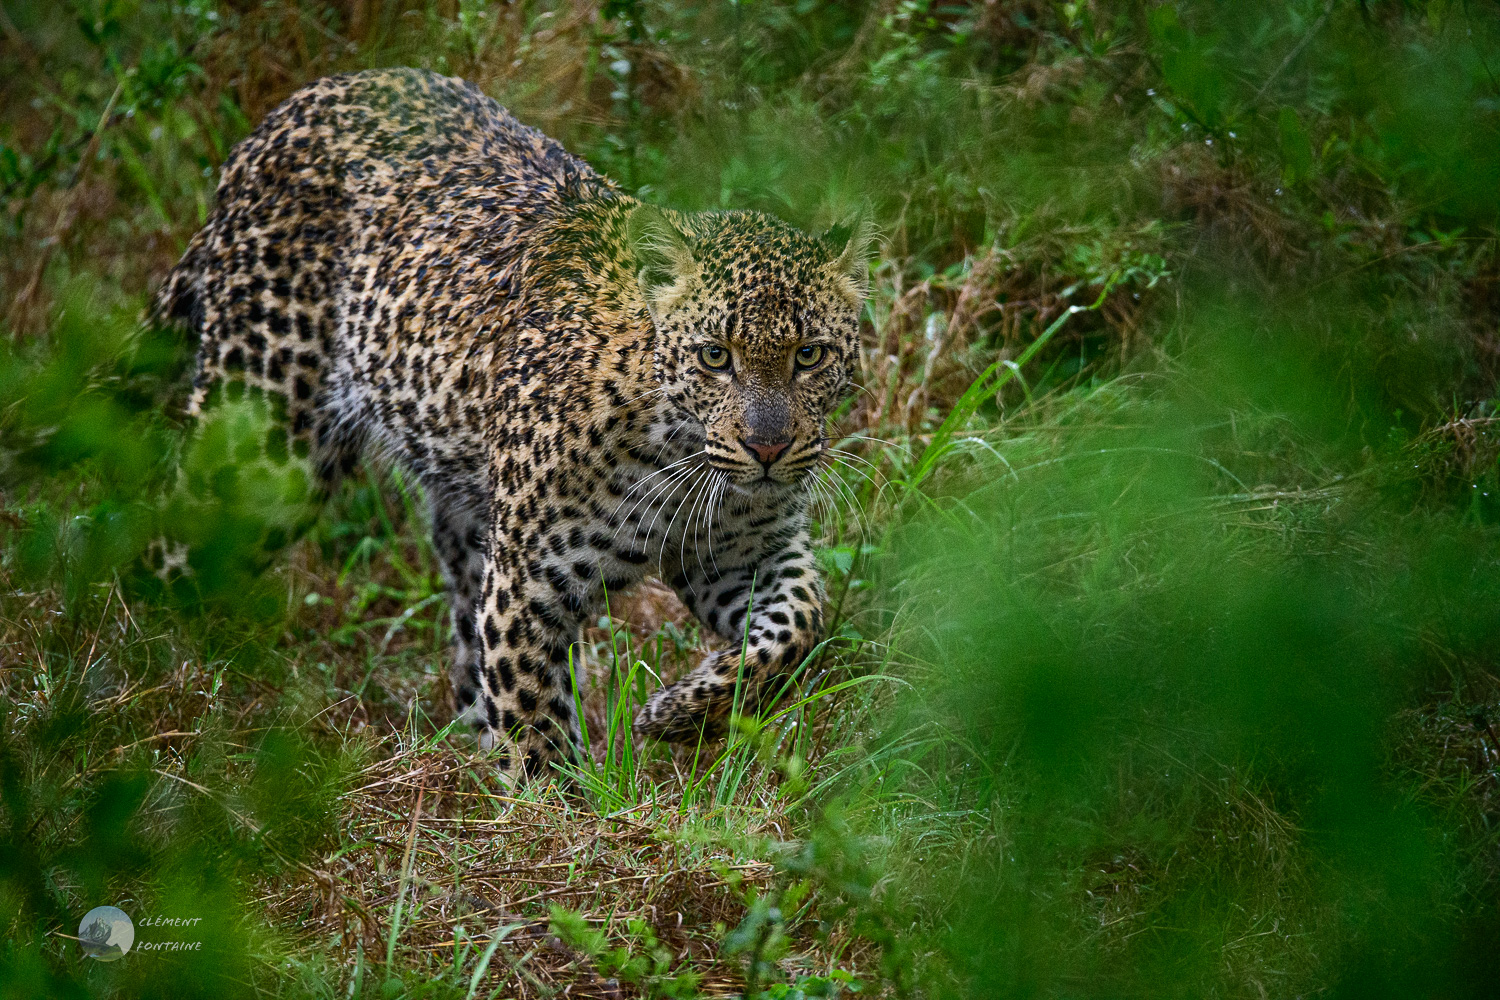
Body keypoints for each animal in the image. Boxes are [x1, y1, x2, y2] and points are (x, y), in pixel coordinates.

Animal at [150, 68, 870, 779]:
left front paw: (680, 712)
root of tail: (289, 111)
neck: (677, 451)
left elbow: (802, 625)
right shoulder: (528, 587)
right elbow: (535, 735)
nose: (768, 448)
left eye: (810, 355)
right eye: (715, 356)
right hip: (265, 443)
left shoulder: (742, 554)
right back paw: (168, 705)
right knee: (174, 550)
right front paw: (563, 807)